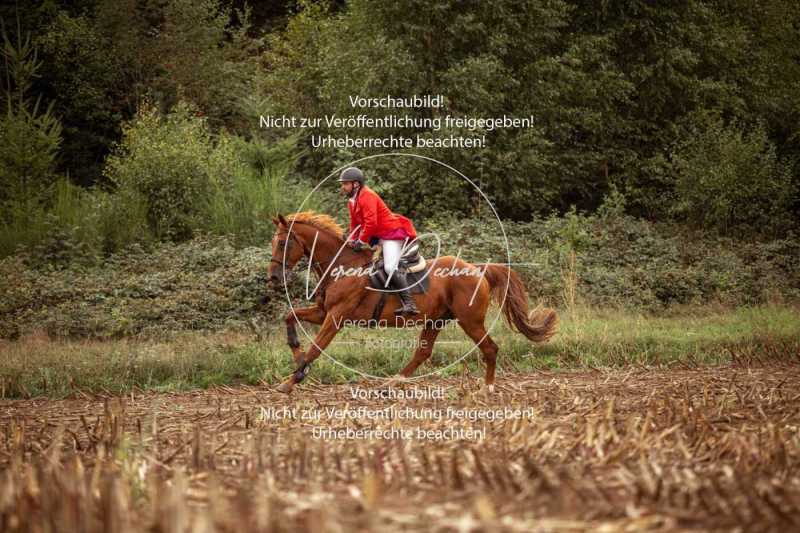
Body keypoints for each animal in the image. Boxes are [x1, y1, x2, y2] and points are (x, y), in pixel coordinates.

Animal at [268, 210, 556, 392]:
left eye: (282, 243)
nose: (273, 277)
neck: (343, 266)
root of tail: (477, 268)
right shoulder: (322, 312)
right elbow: (290, 317)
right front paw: (297, 356)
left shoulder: (336, 317)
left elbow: (317, 348)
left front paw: (292, 380)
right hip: (437, 320)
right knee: (423, 352)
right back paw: (392, 383)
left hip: (470, 320)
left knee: (490, 349)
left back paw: (488, 388)